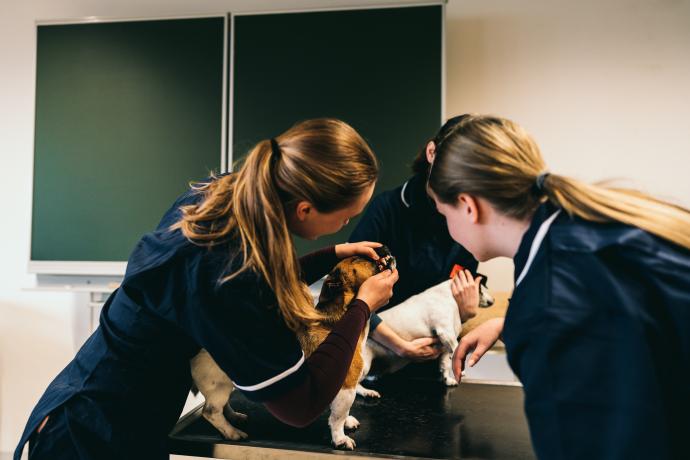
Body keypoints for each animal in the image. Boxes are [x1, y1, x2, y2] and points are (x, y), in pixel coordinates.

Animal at [188, 248, 396, 450]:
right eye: (358, 259)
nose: (383, 248)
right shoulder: (345, 386)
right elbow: (338, 416)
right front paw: (340, 438)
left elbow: (339, 412)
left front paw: (347, 422)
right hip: (219, 387)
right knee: (211, 412)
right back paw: (232, 432)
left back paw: (234, 417)